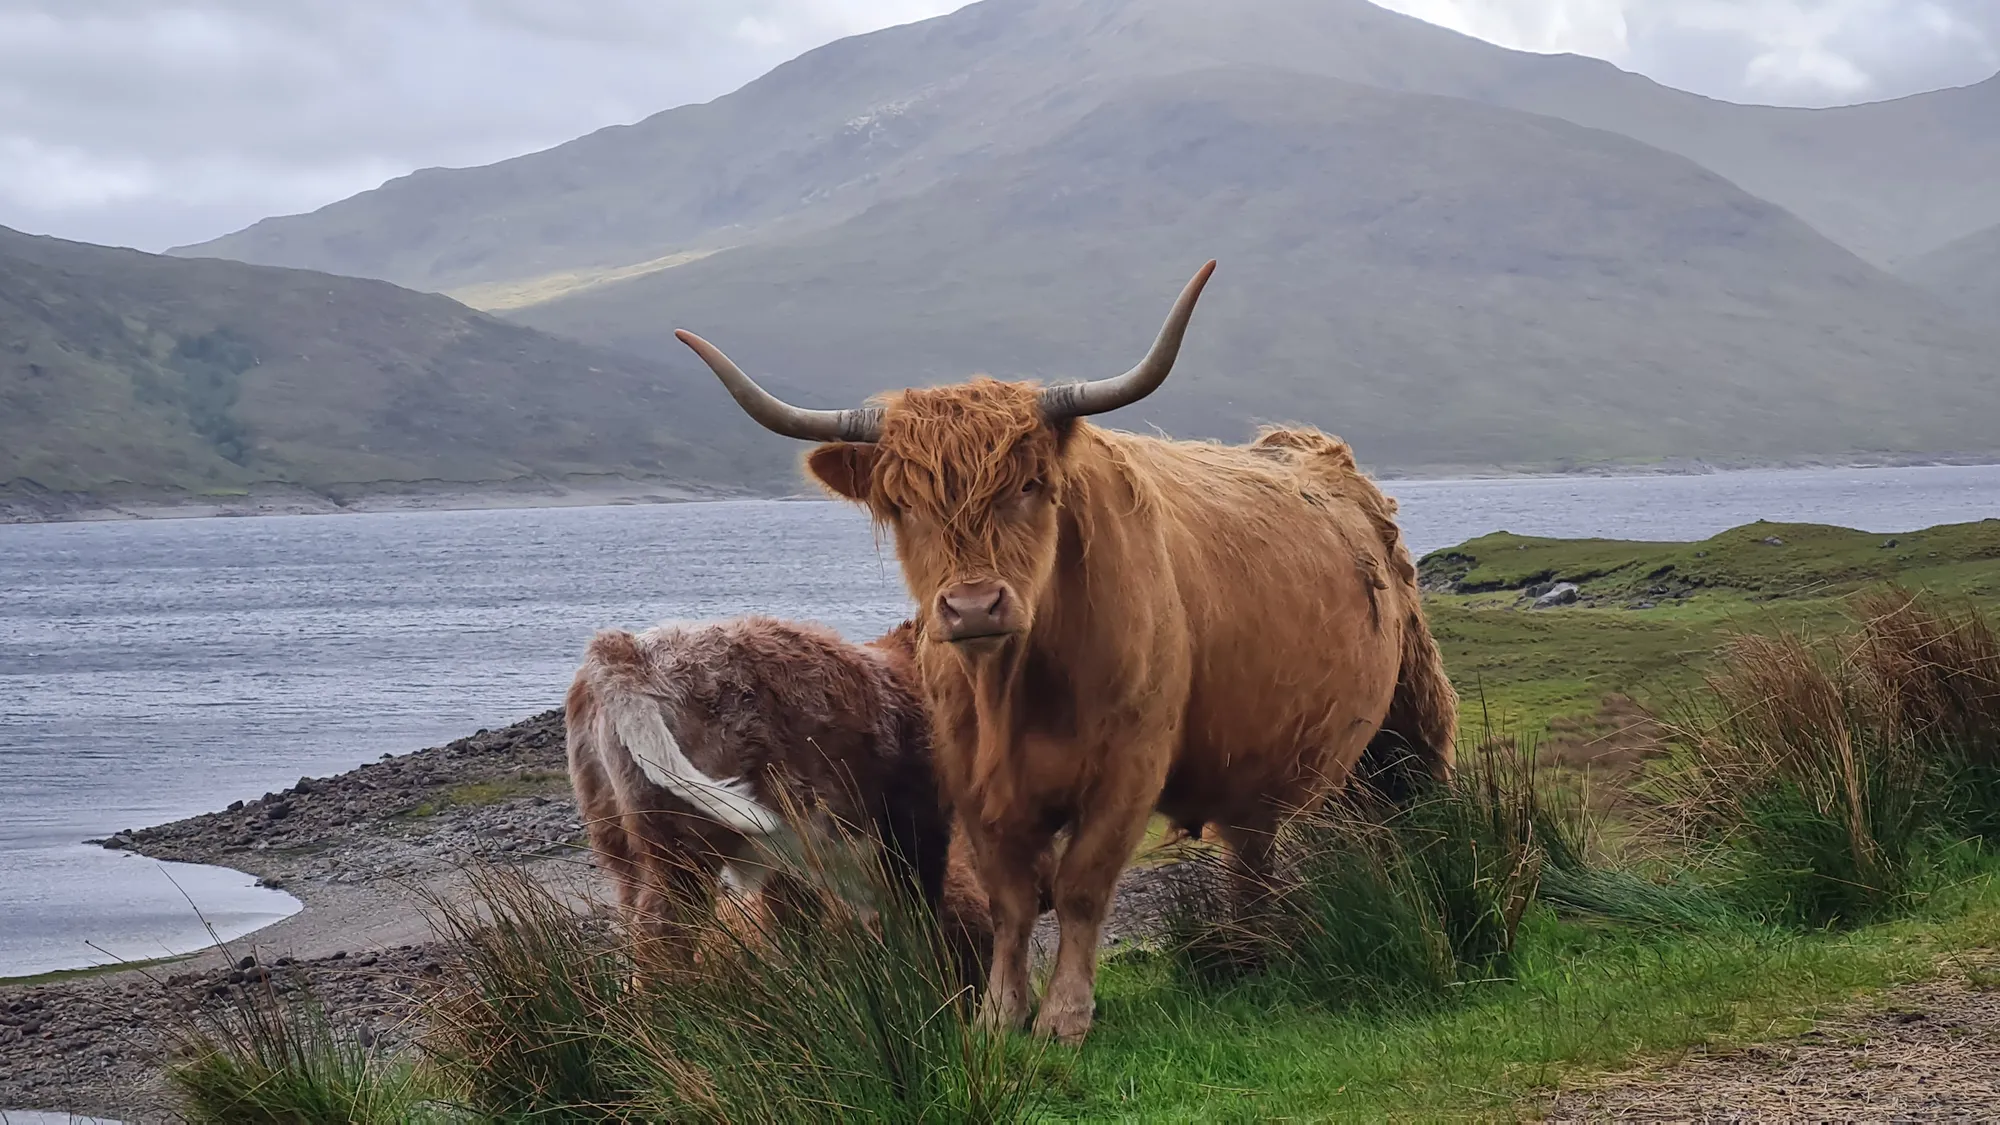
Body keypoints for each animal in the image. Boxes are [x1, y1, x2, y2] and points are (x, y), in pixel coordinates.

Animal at [565, 616, 1005, 987]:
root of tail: (625, 651)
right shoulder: (912, 836)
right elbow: (917, 931)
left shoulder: (791, 870)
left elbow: (797, 939)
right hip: (685, 853)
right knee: (660, 950)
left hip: (618, 843)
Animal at [673, 260, 1458, 1043]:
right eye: (904, 505)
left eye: (1030, 485)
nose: (973, 606)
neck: (1021, 693)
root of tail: (1308, 446)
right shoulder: (973, 780)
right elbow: (1012, 899)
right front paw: (998, 1014)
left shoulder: (1130, 766)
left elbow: (1081, 887)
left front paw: (1065, 1018)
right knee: (1254, 848)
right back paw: (1251, 955)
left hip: (1408, 716)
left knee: (1413, 809)